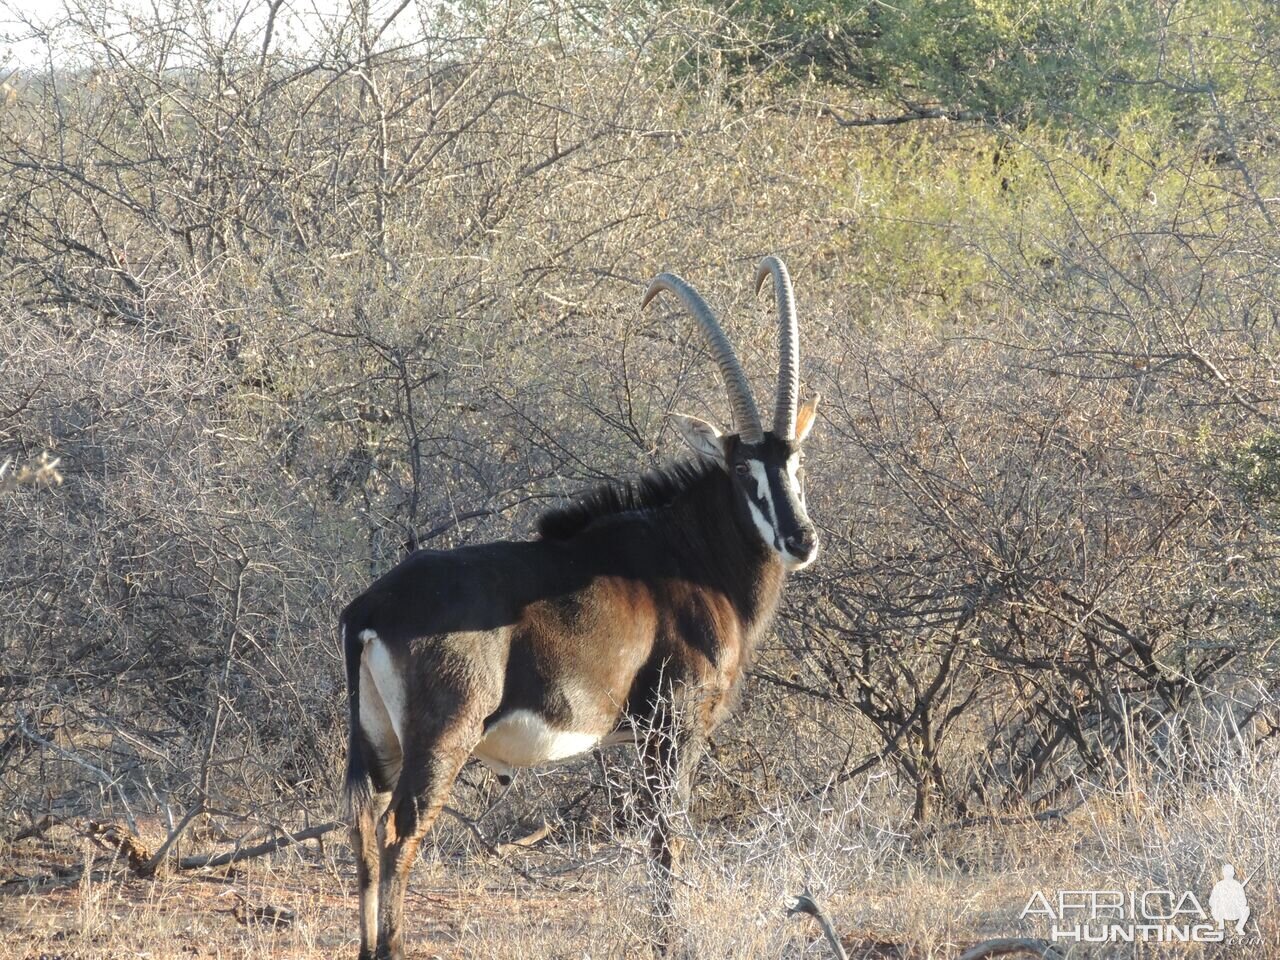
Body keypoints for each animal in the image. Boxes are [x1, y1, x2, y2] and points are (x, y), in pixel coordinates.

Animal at [343, 257, 819, 960]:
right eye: (743, 472)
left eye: (797, 462)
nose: (800, 540)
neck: (690, 553)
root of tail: (369, 609)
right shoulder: (673, 727)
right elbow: (667, 838)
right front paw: (669, 940)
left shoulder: (639, 737)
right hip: (442, 739)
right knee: (402, 832)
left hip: (376, 740)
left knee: (362, 829)